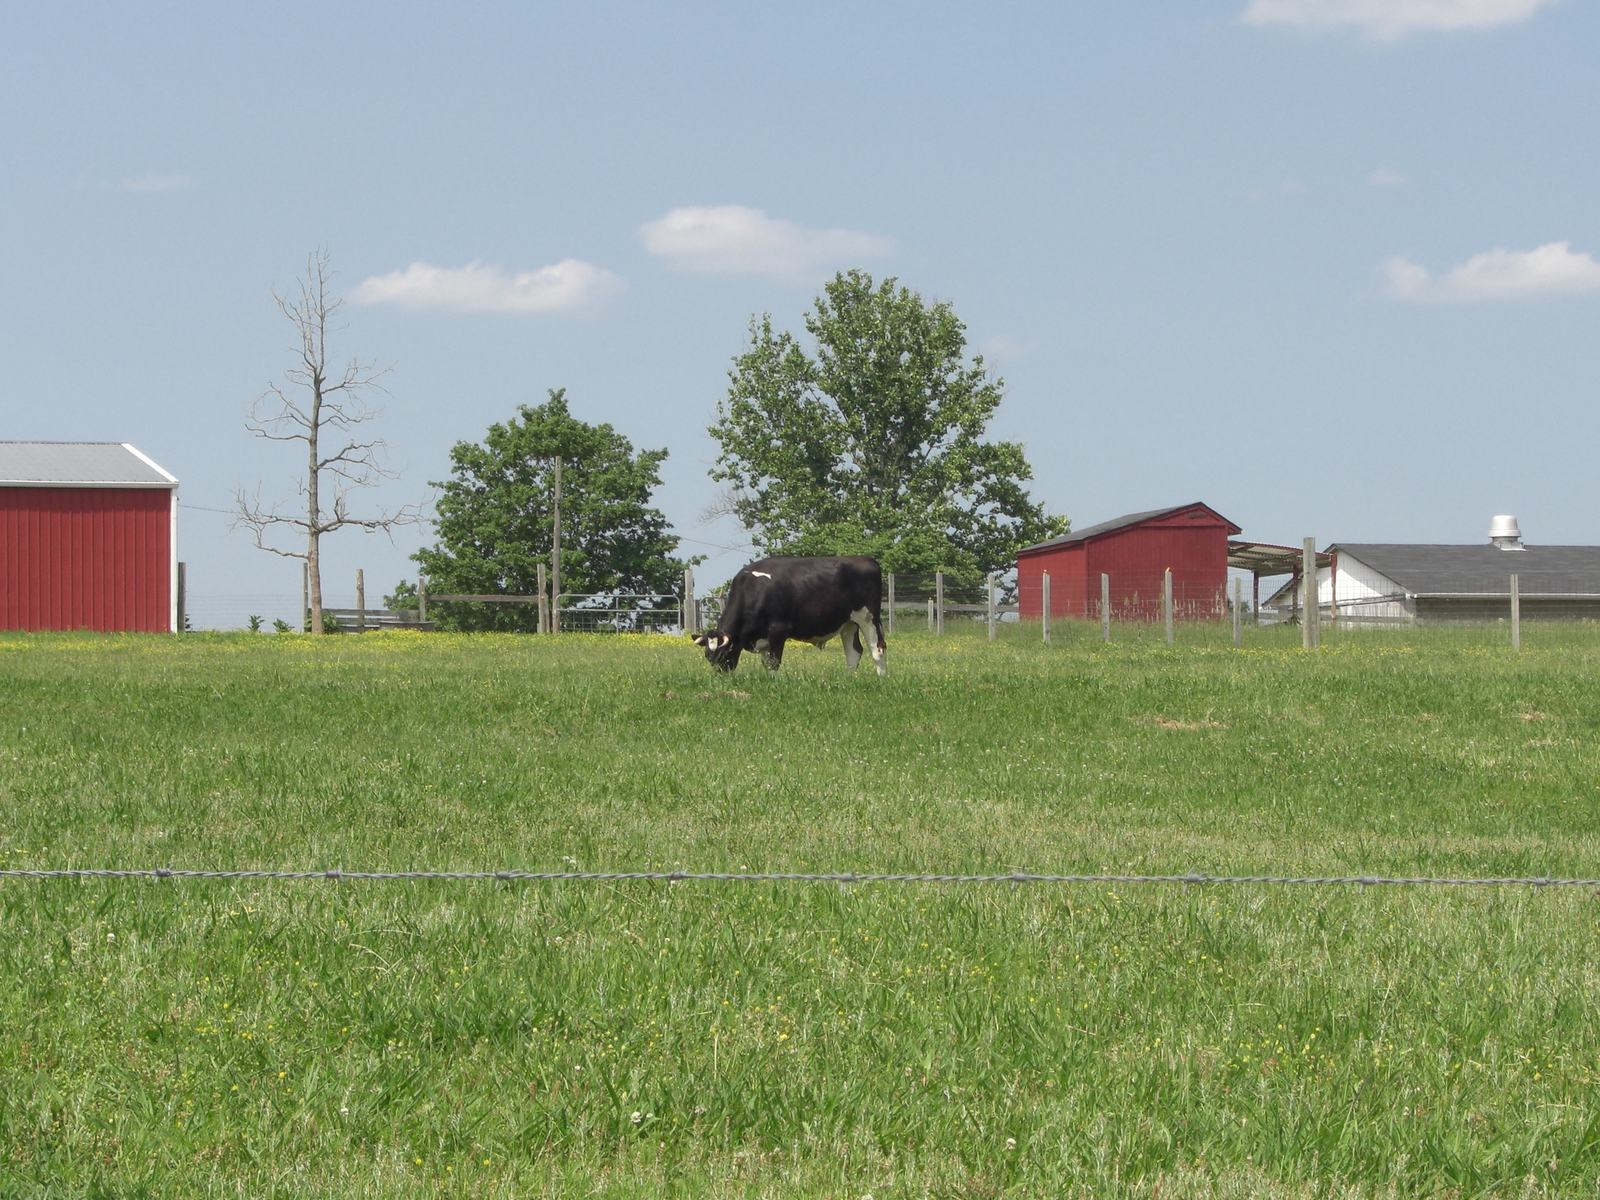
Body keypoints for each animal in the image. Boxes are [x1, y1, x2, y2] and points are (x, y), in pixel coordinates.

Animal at [691, 555, 887, 675]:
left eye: (723, 655)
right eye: (708, 656)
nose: (721, 677)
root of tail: (866, 559)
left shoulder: (778, 630)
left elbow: (773, 662)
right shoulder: (765, 638)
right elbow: (767, 661)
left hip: (869, 618)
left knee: (877, 648)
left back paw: (881, 678)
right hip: (848, 623)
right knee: (854, 652)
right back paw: (850, 679)